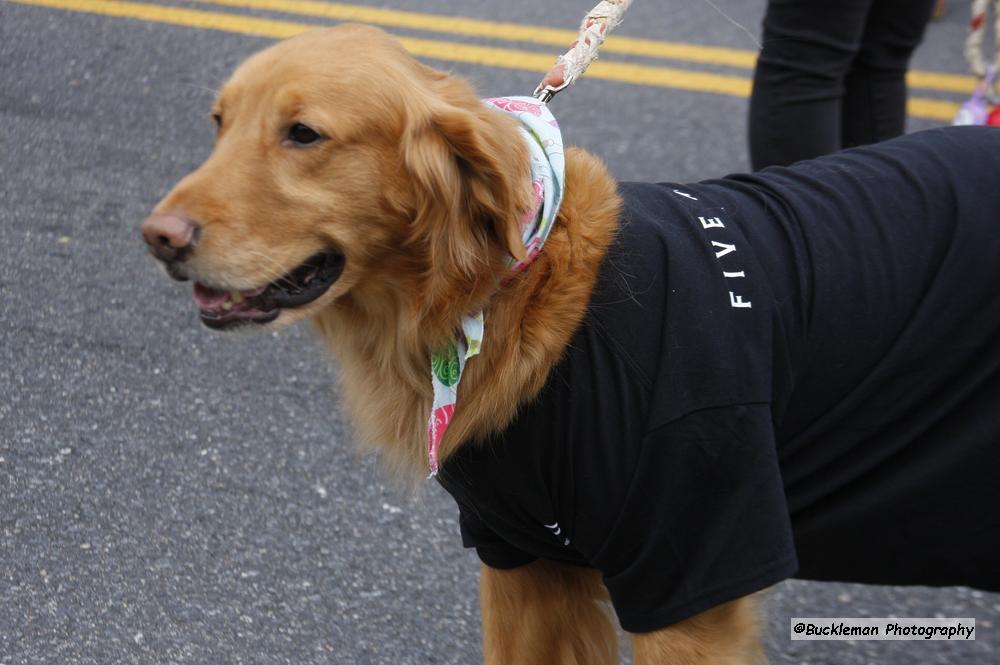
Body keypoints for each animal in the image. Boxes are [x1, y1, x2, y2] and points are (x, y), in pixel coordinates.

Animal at [141, 23, 1000, 660]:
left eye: (304, 133)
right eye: (220, 124)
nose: (158, 238)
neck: (503, 297)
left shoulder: (686, 579)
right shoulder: (524, 562)